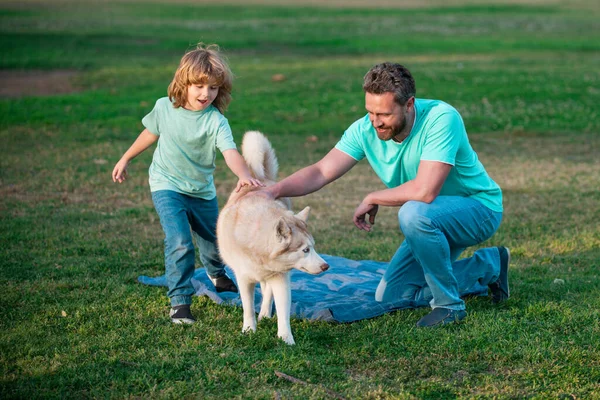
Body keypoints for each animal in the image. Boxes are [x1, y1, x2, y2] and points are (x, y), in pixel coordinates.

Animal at [216, 131, 328, 344]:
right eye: (305, 250)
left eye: (314, 247)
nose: (326, 266)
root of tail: (260, 178)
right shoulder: (244, 278)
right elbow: (247, 307)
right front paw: (249, 329)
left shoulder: (281, 278)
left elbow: (283, 311)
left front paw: (286, 339)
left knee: (267, 291)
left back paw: (266, 314)